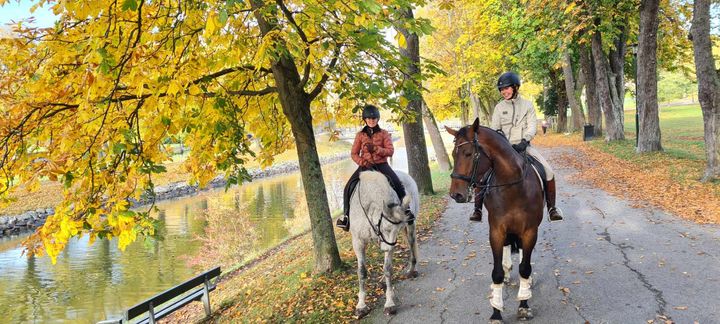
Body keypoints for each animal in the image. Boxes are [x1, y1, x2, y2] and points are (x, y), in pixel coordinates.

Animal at [350, 171, 420, 318]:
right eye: (386, 228)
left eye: (395, 229)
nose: (388, 248)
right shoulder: (358, 241)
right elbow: (361, 272)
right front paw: (361, 305)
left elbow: (387, 269)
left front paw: (389, 303)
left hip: (410, 226)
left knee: (411, 245)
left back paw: (411, 270)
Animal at [448, 119, 544, 324]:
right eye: (453, 154)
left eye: (468, 153)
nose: (455, 194)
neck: (513, 187)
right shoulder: (497, 231)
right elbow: (497, 273)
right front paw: (496, 312)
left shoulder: (530, 231)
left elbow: (525, 268)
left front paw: (524, 305)